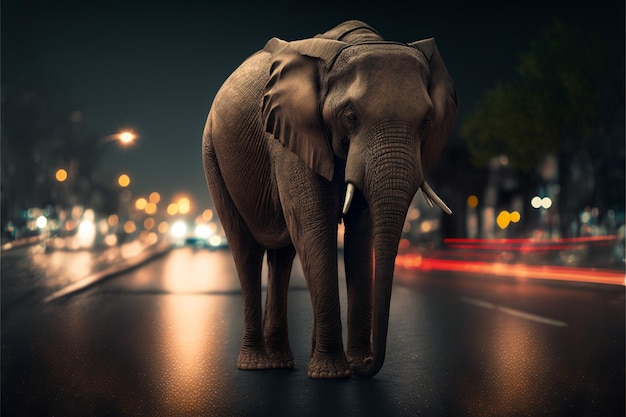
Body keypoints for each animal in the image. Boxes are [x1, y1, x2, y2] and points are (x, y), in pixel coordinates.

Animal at [202, 18, 456, 376]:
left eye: (426, 121)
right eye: (350, 117)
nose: (368, 363)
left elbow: (360, 234)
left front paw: (350, 364)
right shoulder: (288, 133)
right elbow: (314, 227)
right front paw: (333, 372)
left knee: (282, 254)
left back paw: (280, 362)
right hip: (213, 154)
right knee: (246, 249)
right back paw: (256, 365)